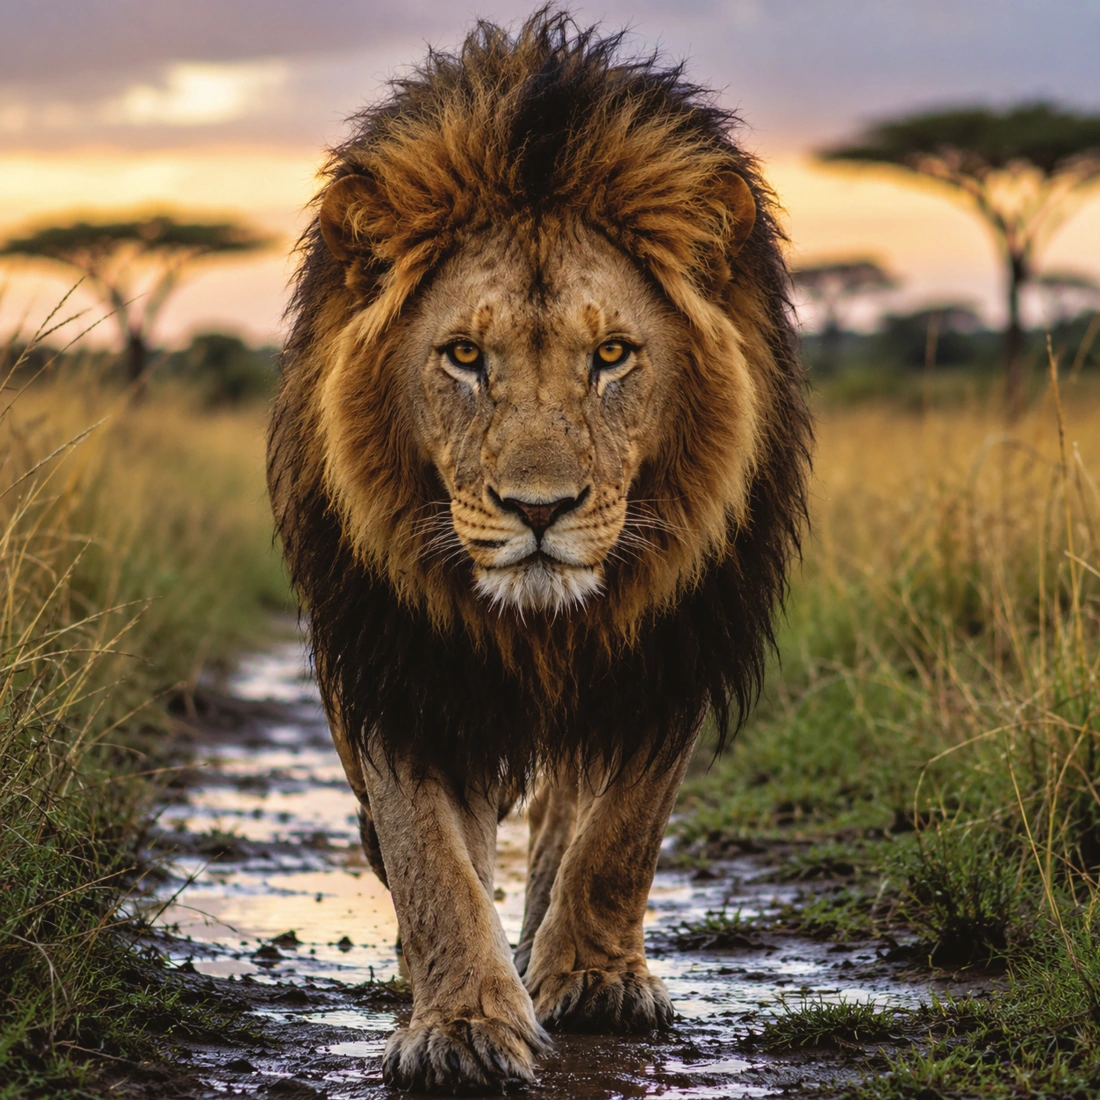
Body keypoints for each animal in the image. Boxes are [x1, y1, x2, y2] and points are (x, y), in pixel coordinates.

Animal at [268, 10, 810, 1094]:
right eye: (463, 357)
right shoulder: (393, 660)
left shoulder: (670, 648)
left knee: (567, 810)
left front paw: (593, 979)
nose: (538, 508)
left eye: (611, 356)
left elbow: (621, 833)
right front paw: (465, 1023)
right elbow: (428, 854)